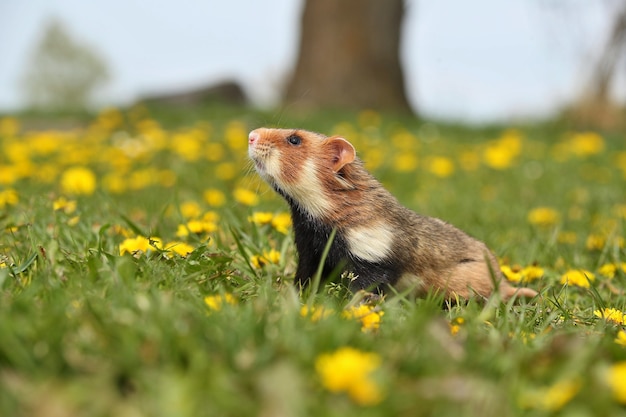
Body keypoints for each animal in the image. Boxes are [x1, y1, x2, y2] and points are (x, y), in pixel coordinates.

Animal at [249, 127, 536, 300]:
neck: (320, 230)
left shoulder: (373, 256)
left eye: (294, 139)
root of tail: (502, 280)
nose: (252, 135)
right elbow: (305, 279)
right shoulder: (309, 252)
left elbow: (365, 287)